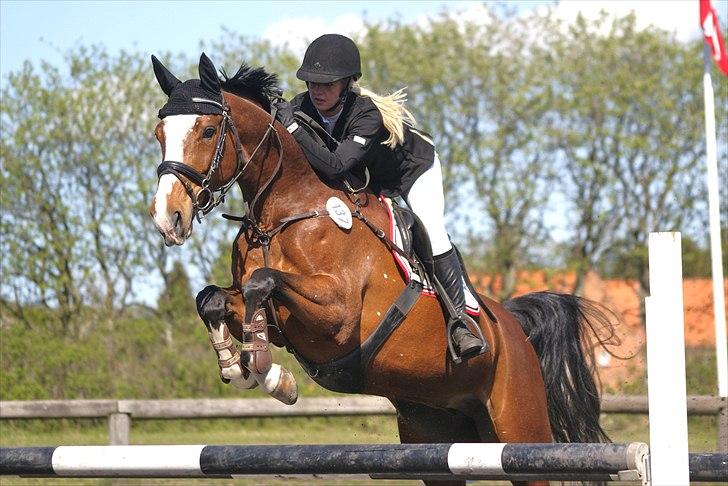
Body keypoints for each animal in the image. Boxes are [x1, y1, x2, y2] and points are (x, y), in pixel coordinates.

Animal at [148, 53, 616, 486]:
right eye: (159, 135)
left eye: (208, 131)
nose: (168, 217)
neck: (282, 213)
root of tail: (514, 328)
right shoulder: (276, 319)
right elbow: (212, 298)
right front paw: (237, 366)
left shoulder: (337, 317)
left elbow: (262, 282)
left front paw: (271, 374)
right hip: (433, 435)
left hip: (519, 431)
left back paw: (467, 334)